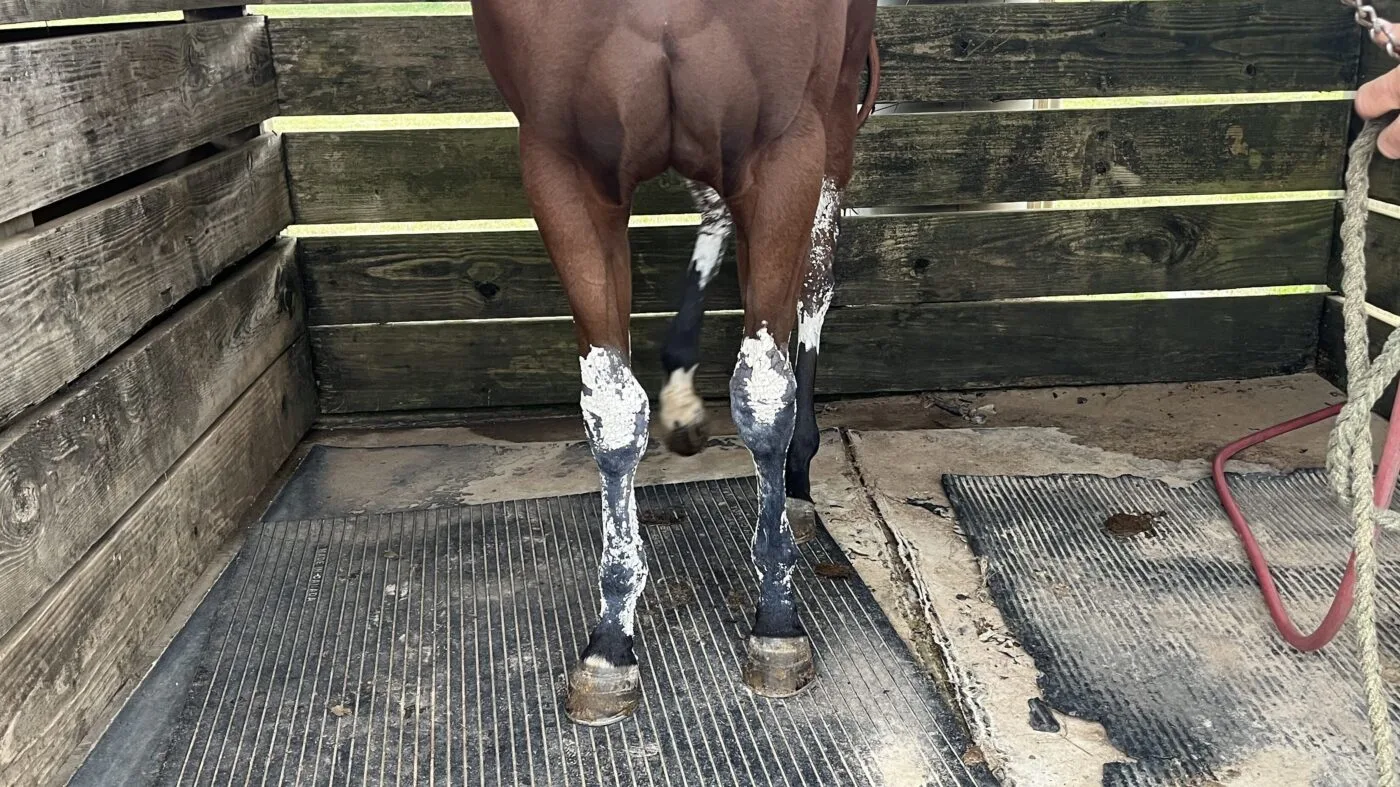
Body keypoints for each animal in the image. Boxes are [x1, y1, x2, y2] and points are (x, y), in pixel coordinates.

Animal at [469, 0, 880, 726]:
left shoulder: (786, 147)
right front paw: (610, 643)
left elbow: (763, 396)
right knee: (716, 209)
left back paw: (797, 483)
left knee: (814, 283)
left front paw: (777, 622)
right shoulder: (563, 165)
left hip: (830, 120)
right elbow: (612, 413)